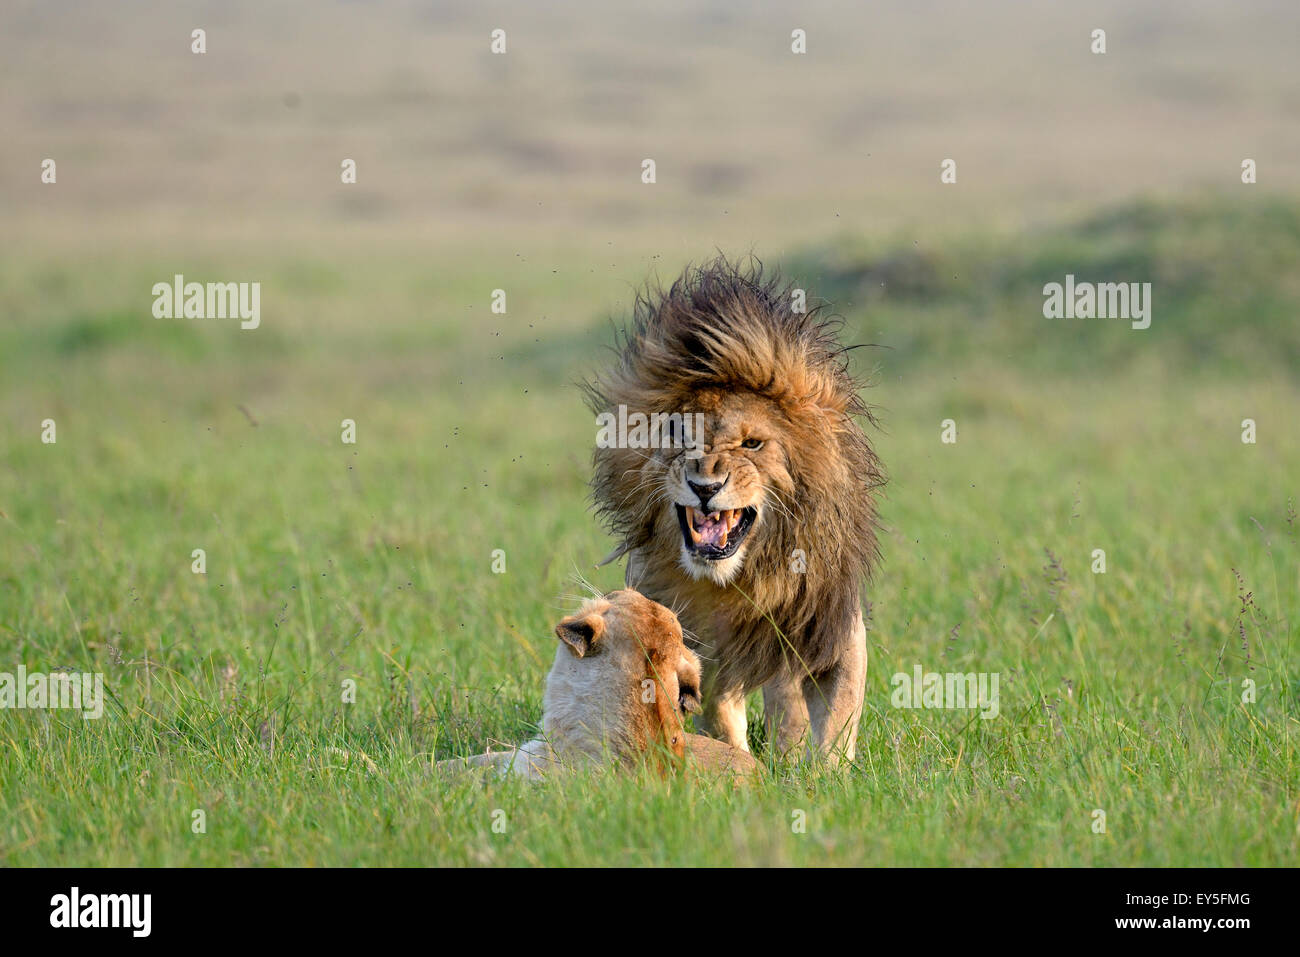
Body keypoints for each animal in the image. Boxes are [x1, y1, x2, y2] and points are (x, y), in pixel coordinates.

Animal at [587, 257, 883, 764]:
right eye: (679, 437)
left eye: (752, 444)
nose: (704, 486)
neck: (742, 578)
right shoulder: (703, 646)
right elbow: (722, 718)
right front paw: (739, 762)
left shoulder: (831, 629)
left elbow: (836, 724)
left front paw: (822, 776)